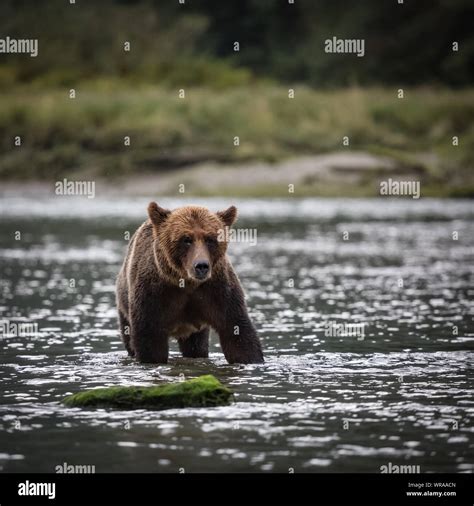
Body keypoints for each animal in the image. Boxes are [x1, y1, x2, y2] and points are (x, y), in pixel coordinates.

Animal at [115, 202, 262, 364]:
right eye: (186, 239)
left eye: (210, 239)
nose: (201, 266)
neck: (187, 282)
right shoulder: (154, 293)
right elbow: (150, 340)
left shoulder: (217, 290)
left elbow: (237, 332)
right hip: (124, 306)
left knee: (197, 346)